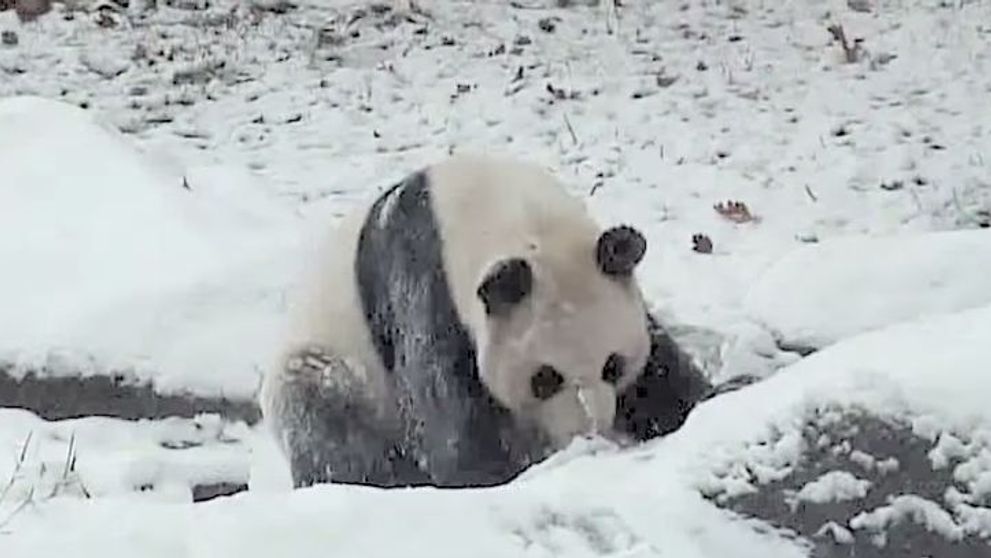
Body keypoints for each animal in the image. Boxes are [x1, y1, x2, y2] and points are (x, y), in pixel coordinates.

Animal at [260, 154, 714, 489]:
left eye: (613, 365)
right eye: (544, 378)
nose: (588, 431)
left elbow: (659, 366)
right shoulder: (424, 281)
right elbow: (441, 407)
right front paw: (491, 471)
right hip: (328, 367)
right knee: (328, 424)